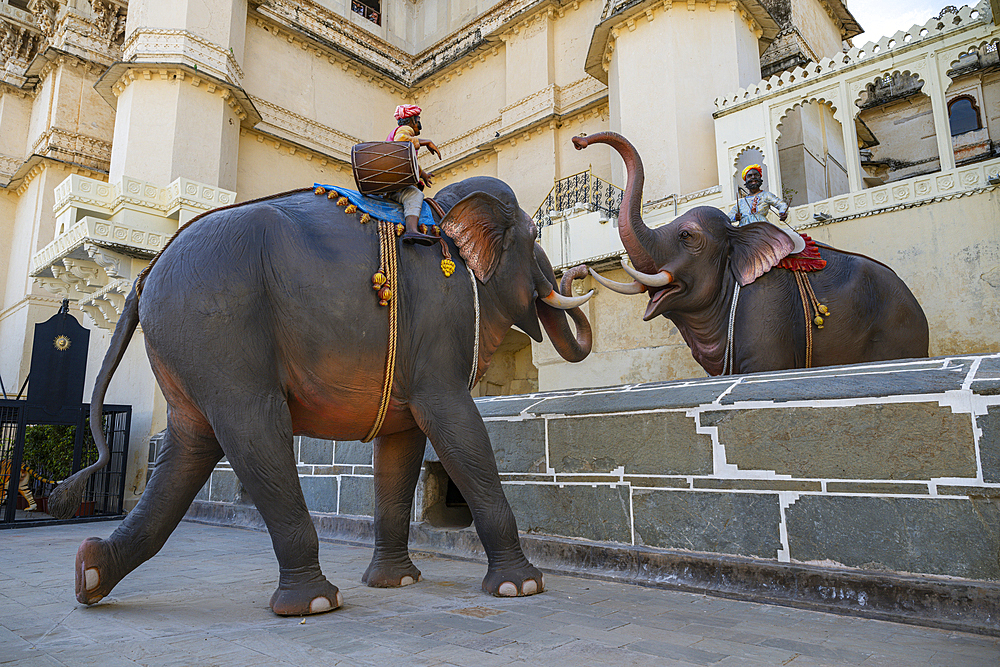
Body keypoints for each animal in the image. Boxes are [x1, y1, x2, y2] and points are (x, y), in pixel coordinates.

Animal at [48, 176, 592, 616]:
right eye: (537, 237)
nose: (578, 273)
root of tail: (144, 275)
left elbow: (401, 445)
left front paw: (395, 583)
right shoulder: (439, 330)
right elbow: (456, 425)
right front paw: (522, 589)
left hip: (189, 346)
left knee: (188, 449)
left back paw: (88, 573)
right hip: (219, 330)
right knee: (255, 429)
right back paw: (314, 602)